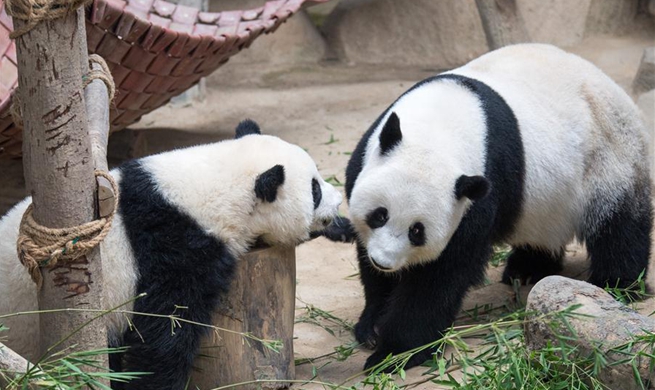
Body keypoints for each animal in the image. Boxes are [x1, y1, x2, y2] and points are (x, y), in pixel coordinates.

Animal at [336, 44, 652, 370]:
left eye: (417, 231)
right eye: (380, 215)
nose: (384, 262)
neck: (438, 129)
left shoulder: (479, 195)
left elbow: (440, 277)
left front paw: (395, 352)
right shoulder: (365, 159)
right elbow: (371, 264)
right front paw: (372, 326)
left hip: (610, 157)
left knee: (619, 226)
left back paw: (616, 284)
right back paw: (527, 268)